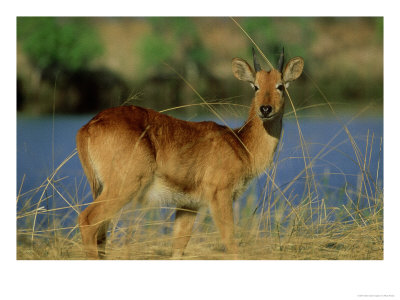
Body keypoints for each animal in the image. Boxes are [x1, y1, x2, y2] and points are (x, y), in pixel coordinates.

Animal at [76, 48, 304, 258]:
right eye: (256, 86)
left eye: (280, 85)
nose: (265, 109)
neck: (240, 144)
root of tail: (87, 127)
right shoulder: (220, 195)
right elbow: (231, 243)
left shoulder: (188, 205)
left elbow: (178, 248)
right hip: (124, 187)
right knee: (87, 220)